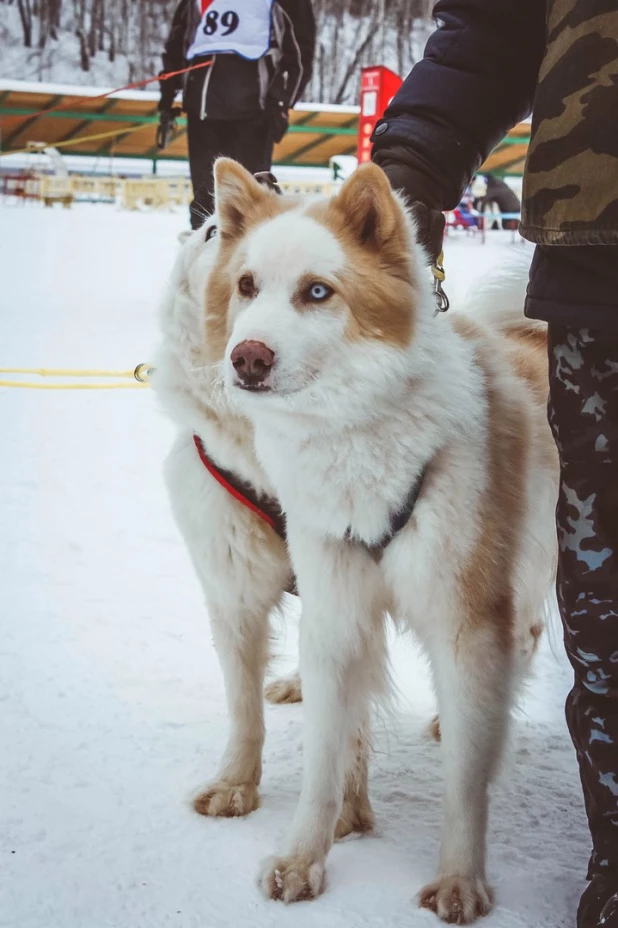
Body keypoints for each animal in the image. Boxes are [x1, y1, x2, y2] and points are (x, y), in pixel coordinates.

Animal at [194, 158, 560, 920]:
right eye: (246, 285)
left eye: (317, 291)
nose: (247, 358)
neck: (361, 434)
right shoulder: (335, 615)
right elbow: (326, 758)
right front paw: (304, 858)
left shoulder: (465, 621)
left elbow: (464, 785)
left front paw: (460, 880)